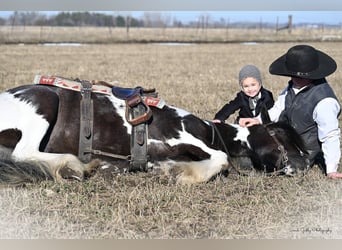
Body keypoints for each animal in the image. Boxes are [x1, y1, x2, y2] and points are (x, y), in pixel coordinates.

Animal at [0, 78, 310, 186]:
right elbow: (220, 158)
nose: (306, 163)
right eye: (280, 138)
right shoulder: (180, 137)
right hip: (44, 104)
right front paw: (179, 173)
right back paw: (73, 165)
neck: (208, 131)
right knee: (23, 153)